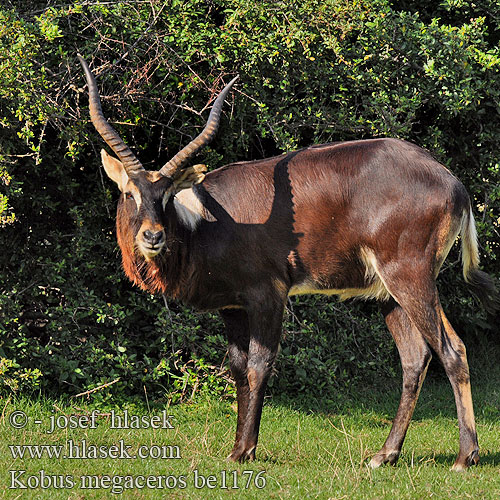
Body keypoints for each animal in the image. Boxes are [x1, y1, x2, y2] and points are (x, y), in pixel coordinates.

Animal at [78, 55, 496, 472]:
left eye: (166, 195)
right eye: (130, 192)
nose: (152, 236)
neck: (205, 223)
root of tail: (453, 183)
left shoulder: (269, 296)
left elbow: (259, 364)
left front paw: (244, 450)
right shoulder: (233, 307)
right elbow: (237, 367)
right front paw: (237, 445)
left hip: (410, 279)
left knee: (452, 350)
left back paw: (465, 457)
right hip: (388, 294)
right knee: (414, 357)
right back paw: (385, 455)